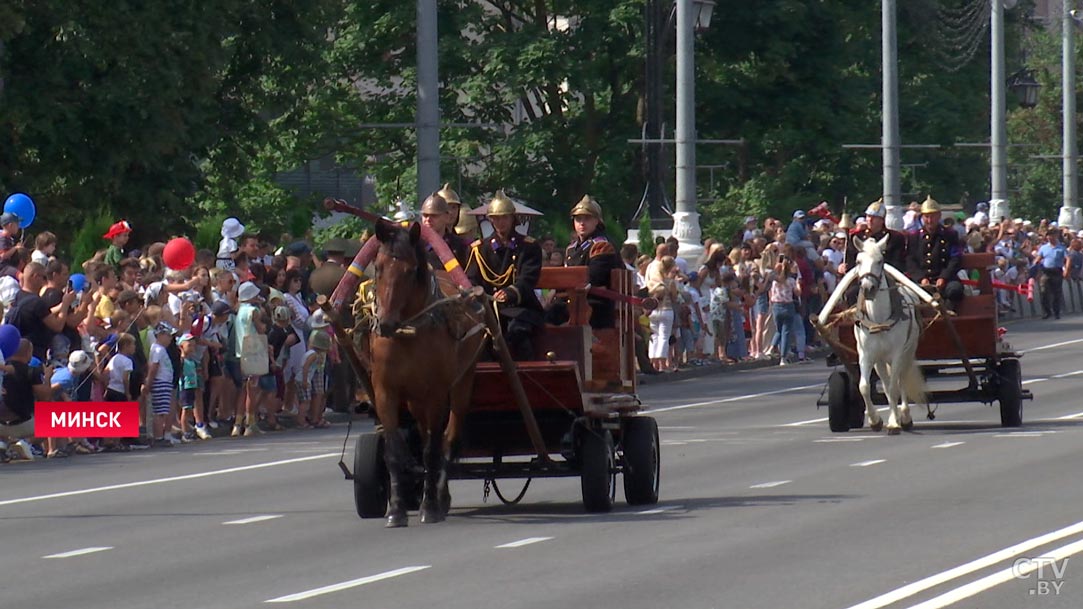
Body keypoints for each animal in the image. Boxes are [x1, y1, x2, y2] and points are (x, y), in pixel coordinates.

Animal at [368, 219, 483, 524]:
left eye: (410, 271)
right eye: (378, 267)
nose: (386, 323)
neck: (408, 331)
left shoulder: (437, 394)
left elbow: (432, 450)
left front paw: (429, 506)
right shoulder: (385, 392)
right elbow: (394, 451)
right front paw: (396, 509)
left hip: (461, 386)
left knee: (447, 440)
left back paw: (440, 496)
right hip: (415, 399)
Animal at [849, 231, 927, 431]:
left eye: (880, 260)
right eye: (858, 261)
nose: (868, 288)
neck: (879, 320)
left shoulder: (897, 353)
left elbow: (894, 388)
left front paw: (893, 422)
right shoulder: (866, 355)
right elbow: (864, 387)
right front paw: (875, 419)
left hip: (906, 353)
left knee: (900, 381)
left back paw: (904, 416)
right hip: (881, 361)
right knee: (886, 383)